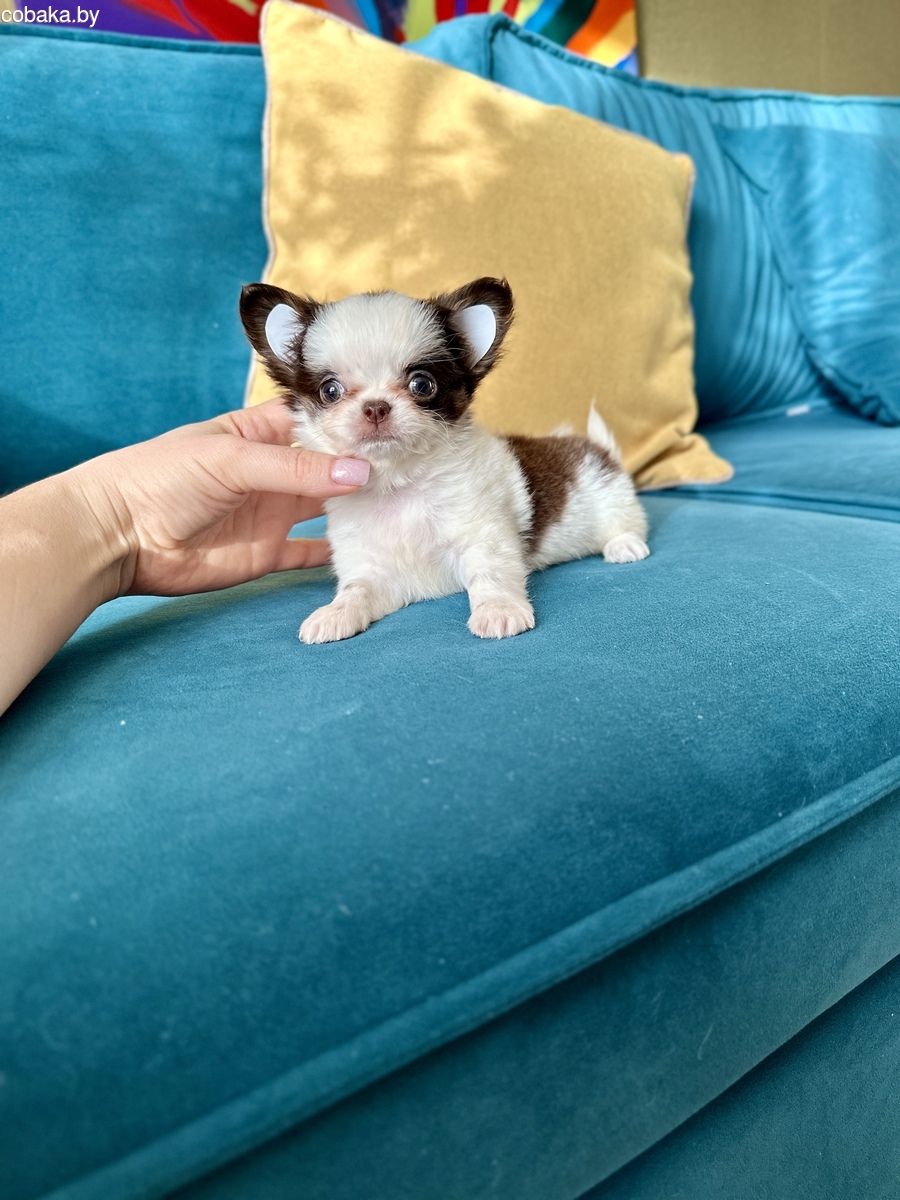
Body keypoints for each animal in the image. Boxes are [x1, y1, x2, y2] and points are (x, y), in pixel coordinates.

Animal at [240, 277, 649, 643]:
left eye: (422, 385)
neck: (399, 483)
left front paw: (499, 610)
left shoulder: (483, 538)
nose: (375, 407)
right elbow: (357, 589)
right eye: (330, 390)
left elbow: (490, 575)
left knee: (626, 525)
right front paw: (335, 613)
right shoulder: (373, 568)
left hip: (611, 498)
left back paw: (623, 546)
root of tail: (593, 448)